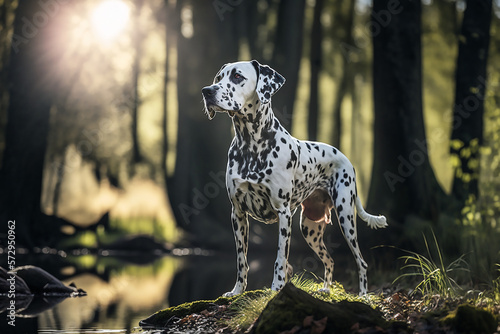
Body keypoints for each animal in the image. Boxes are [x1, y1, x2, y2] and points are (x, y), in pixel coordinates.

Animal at [200, 61, 386, 296]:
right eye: (218, 77)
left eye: (237, 76)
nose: (207, 91)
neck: (251, 146)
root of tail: (346, 159)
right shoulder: (238, 214)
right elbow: (242, 260)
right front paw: (237, 291)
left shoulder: (283, 213)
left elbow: (280, 258)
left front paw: (276, 288)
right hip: (310, 229)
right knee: (330, 260)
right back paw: (325, 290)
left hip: (346, 219)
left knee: (361, 262)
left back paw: (363, 295)